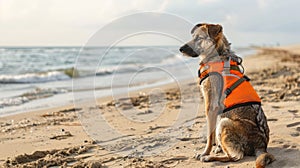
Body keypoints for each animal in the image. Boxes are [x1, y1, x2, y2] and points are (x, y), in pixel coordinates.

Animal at [179, 24, 276, 168]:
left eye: (199, 38)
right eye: (193, 37)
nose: (180, 49)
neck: (218, 54)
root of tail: (261, 146)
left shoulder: (210, 107)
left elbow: (210, 137)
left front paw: (205, 153)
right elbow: (214, 135)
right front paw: (218, 147)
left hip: (225, 122)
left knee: (236, 156)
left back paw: (209, 158)